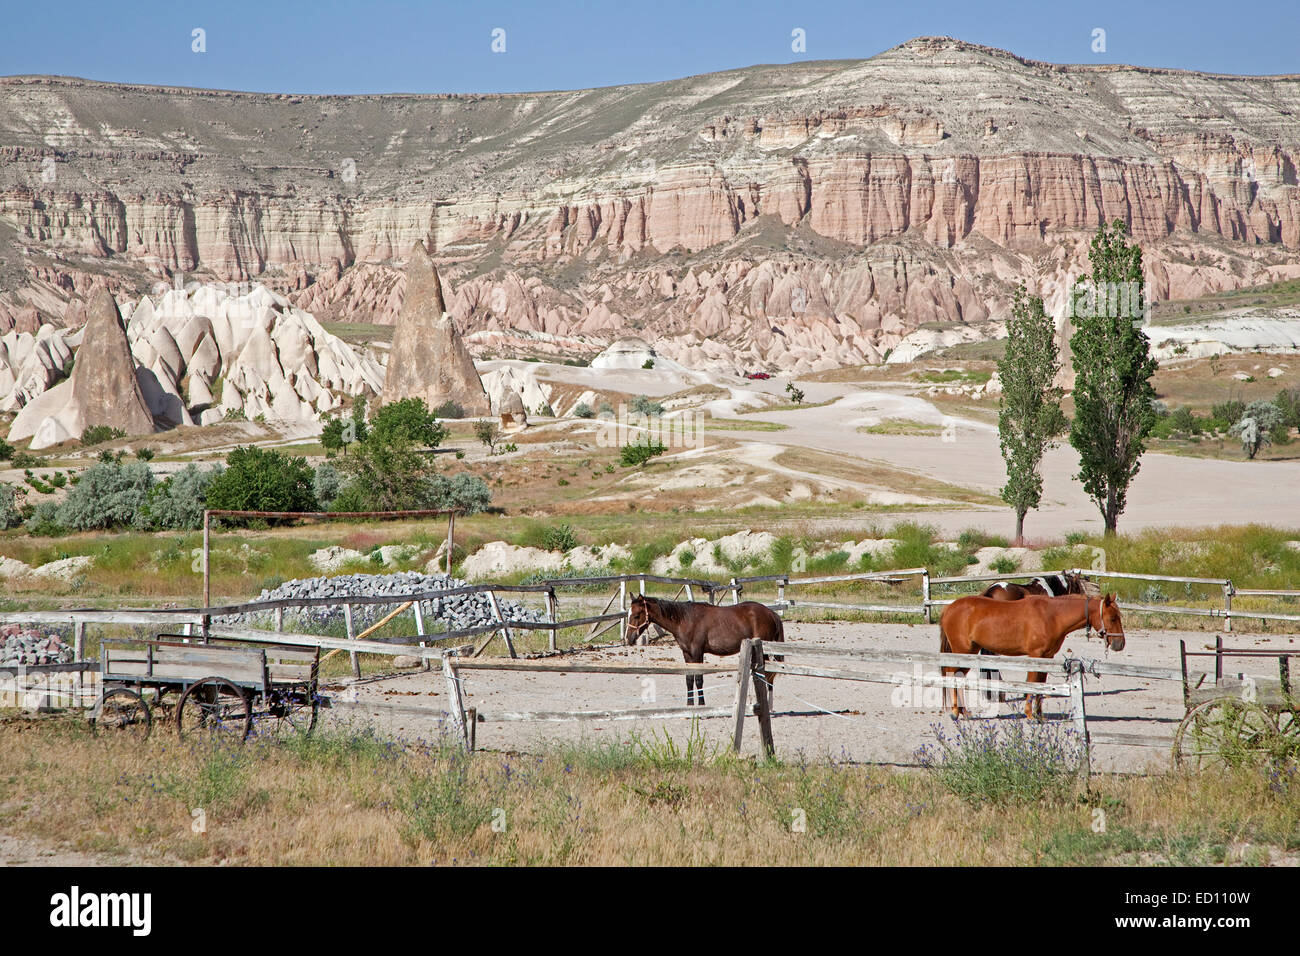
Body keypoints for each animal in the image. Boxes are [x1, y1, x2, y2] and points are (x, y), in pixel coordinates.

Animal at [626, 595, 784, 706]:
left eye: (636, 615)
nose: (628, 639)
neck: (685, 620)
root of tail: (771, 613)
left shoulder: (697, 652)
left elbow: (699, 679)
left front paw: (701, 703)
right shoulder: (687, 654)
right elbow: (689, 679)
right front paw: (690, 704)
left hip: (764, 650)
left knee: (769, 675)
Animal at [938, 592, 1125, 718]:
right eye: (1113, 618)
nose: (1120, 644)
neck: (1052, 616)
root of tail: (949, 607)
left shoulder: (1046, 657)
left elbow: (1040, 685)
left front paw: (1039, 715)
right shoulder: (1035, 655)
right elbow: (1033, 683)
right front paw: (1029, 714)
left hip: (970, 652)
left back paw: (963, 712)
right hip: (962, 651)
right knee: (952, 675)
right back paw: (956, 712)